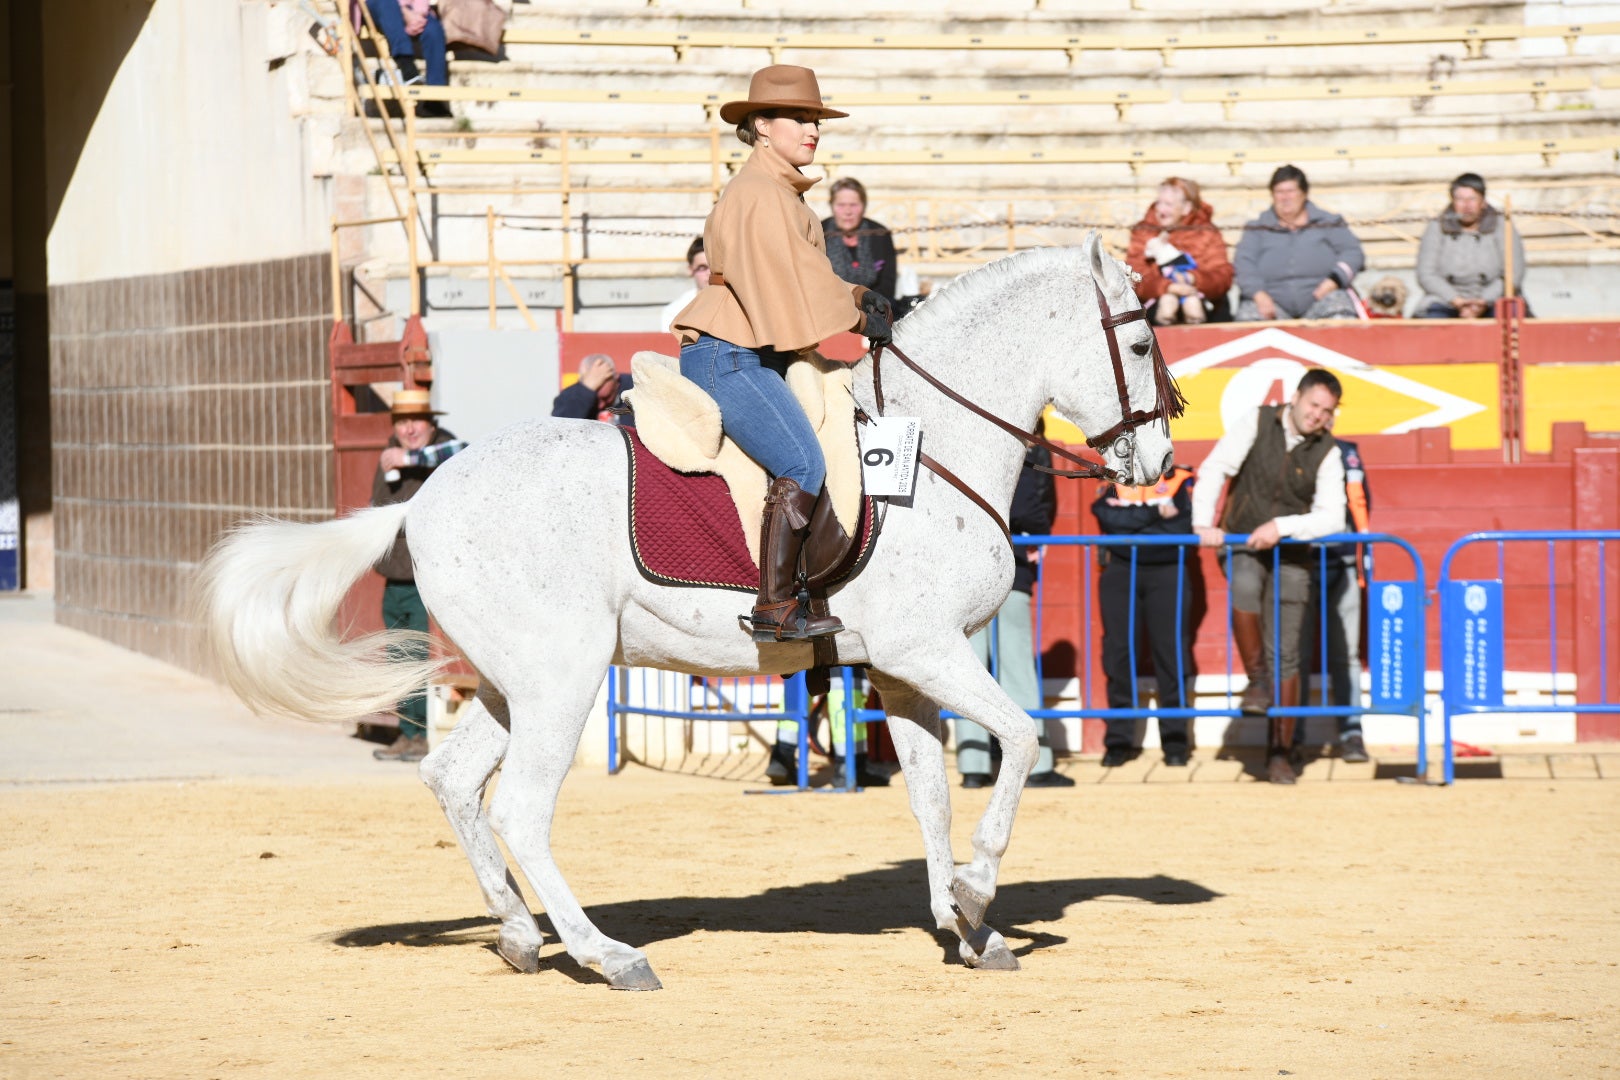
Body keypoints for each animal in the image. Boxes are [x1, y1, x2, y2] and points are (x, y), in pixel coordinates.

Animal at [199, 234, 1179, 990]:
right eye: (1138, 343)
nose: (1160, 461)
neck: (932, 447)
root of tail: (422, 498)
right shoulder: (927, 651)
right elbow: (1018, 737)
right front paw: (977, 893)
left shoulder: (900, 673)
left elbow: (932, 797)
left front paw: (969, 927)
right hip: (564, 679)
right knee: (520, 809)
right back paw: (605, 955)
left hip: (513, 685)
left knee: (454, 782)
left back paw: (517, 934)